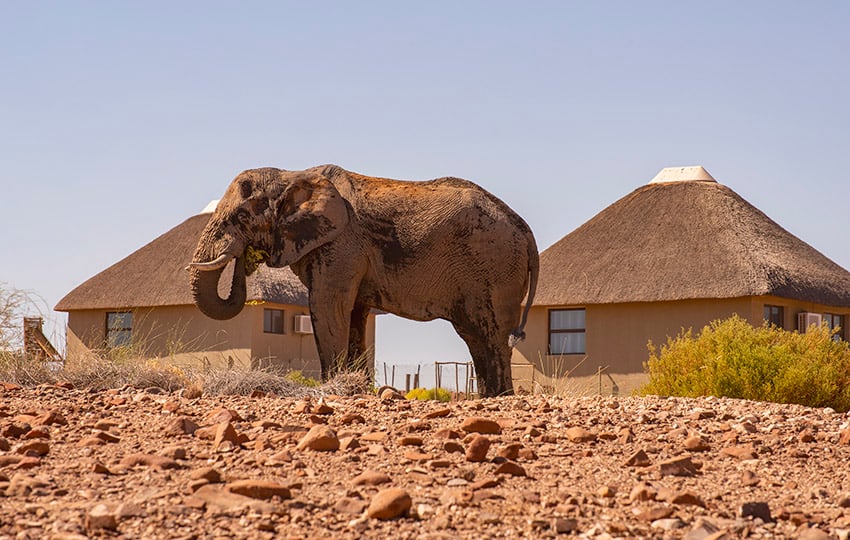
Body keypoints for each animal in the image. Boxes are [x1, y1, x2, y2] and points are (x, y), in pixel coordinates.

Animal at [190, 165, 540, 396]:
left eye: (241, 218)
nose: (243, 257)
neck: (291, 174)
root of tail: (526, 230)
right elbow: (355, 314)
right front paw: (354, 387)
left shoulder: (341, 244)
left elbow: (328, 306)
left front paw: (334, 387)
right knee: (475, 335)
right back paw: (490, 396)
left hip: (495, 265)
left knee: (491, 335)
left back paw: (501, 397)